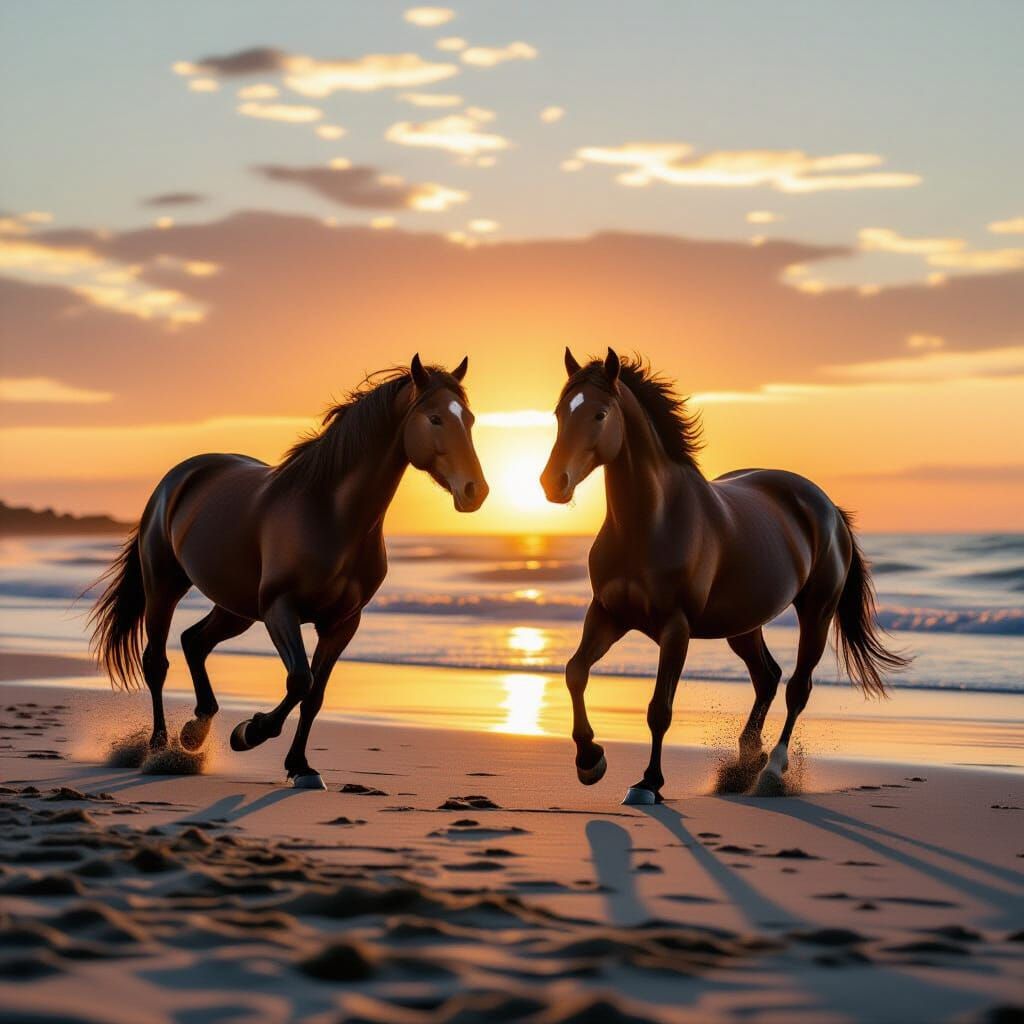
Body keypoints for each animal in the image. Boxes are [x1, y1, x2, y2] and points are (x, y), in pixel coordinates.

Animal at [89, 356, 488, 789]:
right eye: (434, 418)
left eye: (469, 419)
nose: (475, 491)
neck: (330, 514)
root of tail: (178, 477)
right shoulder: (281, 609)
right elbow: (300, 679)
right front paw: (249, 732)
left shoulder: (342, 623)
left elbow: (314, 695)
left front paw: (301, 766)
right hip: (164, 587)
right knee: (157, 662)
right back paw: (160, 748)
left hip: (237, 608)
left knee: (194, 641)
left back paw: (194, 733)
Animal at [540, 347, 907, 804]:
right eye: (559, 413)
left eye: (599, 414)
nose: (553, 483)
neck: (649, 524)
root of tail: (826, 506)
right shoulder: (607, 614)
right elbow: (575, 672)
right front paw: (590, 761)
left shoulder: (675, 628)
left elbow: (659, 709)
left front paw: (648, 782)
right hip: (743, 626)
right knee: (767, 677)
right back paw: (745, 760)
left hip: (816, 613)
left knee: (797, 688)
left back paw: (771, 771)